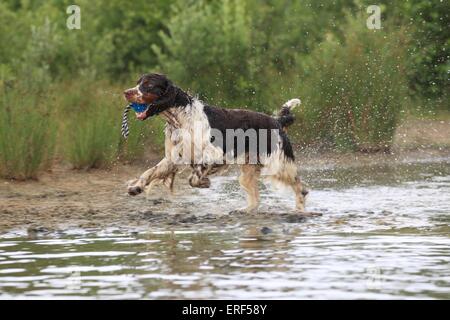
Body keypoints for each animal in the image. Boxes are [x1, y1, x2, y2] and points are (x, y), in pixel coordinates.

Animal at [123, 72, 312, 214]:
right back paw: (244, 210)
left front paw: (204, 182)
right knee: (256, 199)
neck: (180, 119)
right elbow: (149, 172)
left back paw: (299, 211)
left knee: (300, 188)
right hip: (249, 170)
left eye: (148, 85)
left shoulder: (213, 153)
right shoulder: (175, 157)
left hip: (277, 164)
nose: (126, 92)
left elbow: (194, 177)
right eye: (138, 83)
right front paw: (136, 187)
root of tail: (277, 121)